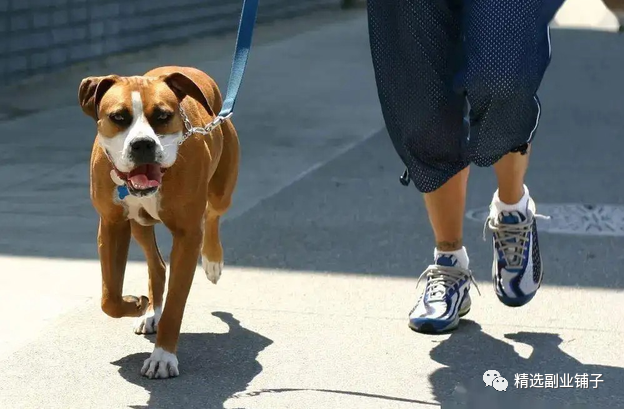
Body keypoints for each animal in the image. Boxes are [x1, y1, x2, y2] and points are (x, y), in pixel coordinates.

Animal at [79, 64, 240, 380]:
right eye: (119, 117)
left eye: (163, 116)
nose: (143, 144)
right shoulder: (111, 225)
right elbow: (109, 297)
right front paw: (136, 303)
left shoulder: (188, 236)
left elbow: (176, 304)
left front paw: (163, 357)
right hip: (139, 225)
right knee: (157, 265)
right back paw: (151, 311)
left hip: (221, 191)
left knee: (212, 214)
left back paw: (213, 261)